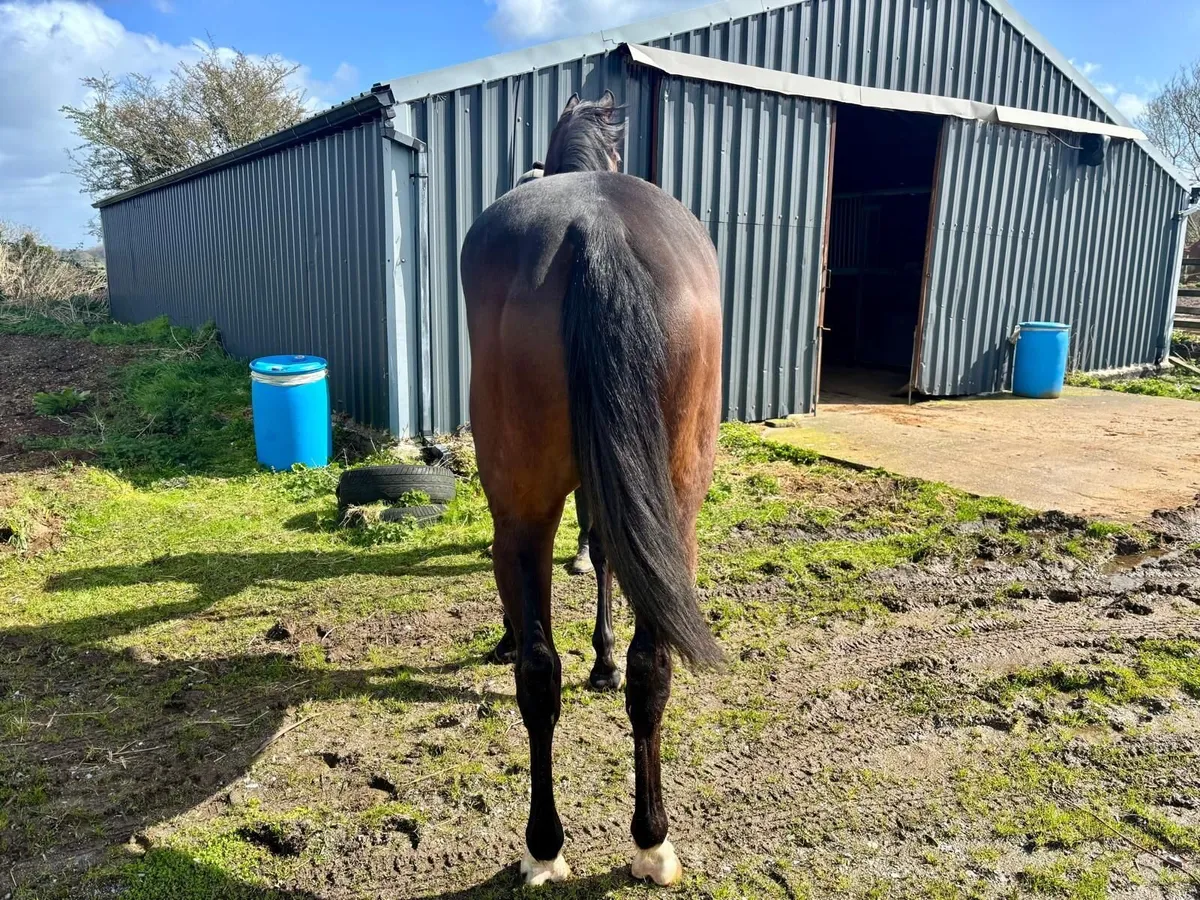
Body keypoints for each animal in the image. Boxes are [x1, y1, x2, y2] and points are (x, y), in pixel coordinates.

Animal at [459, 90, 724, 886]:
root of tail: (594, 228)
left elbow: (591, 558)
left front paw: (571, 652)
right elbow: (608, 557)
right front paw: (603, 661)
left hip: (522, 510)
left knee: (539, 672)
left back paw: (544, 845)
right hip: (678, 507)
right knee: (652, 665)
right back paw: (650, 841)